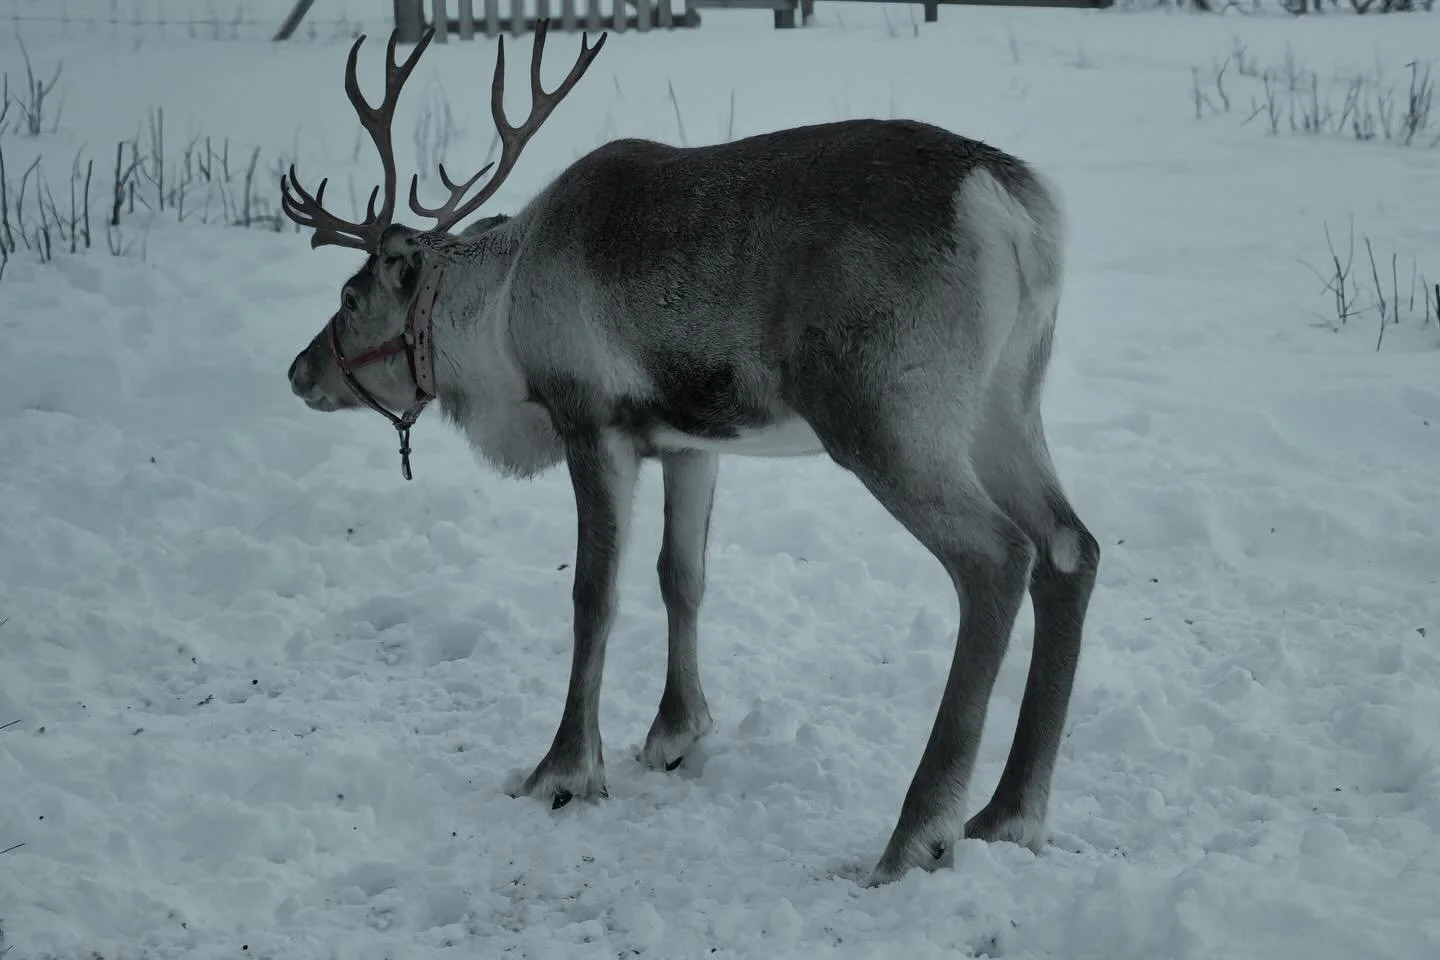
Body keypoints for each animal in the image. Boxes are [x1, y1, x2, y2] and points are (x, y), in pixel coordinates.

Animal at [281, 21, 1100, 886]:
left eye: (350, 297)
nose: (299, 370)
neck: (500, 320)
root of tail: (1011, 205)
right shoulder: (689, 441)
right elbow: (682, 576)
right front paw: (677, 731)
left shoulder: (592, 423)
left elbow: (594, 596)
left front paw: (563, 769)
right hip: (1006, 401)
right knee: (1069, 547)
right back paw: (1009, 814)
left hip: (887, 414)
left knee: (995, 557)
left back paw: (918, 833)